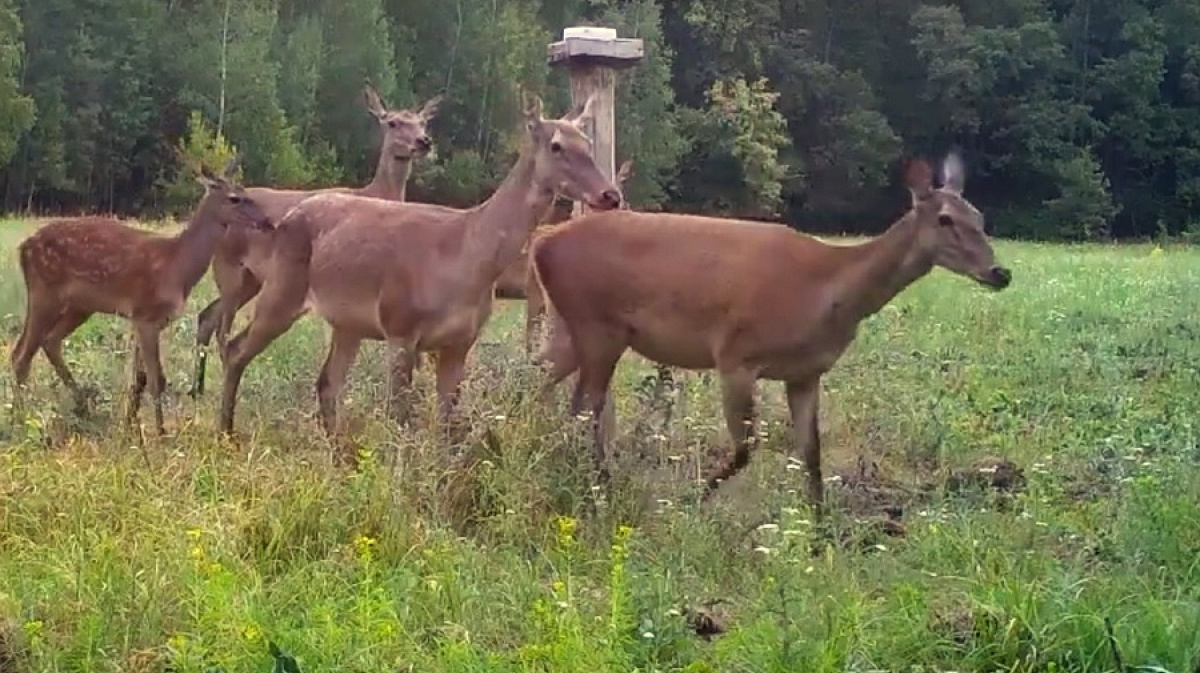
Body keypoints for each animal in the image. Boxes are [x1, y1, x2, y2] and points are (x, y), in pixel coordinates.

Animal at [11, 159, 271, 431]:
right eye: (234, 198)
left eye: (246, 192)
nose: (267, 221)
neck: (176, 266)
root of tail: (23, 248)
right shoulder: (145, 315)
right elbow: (157, 380)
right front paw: (160, 433)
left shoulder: (143, 319)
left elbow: (141, 378)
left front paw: (133, 427)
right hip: (44, 291)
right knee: (21, 354)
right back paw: (20, 418)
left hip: (79, 306)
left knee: (49, 341)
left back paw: (82, 406)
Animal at [189, 79, 444, 393]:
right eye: (393, 122)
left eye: (423, 122)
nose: (423, 142)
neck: (375, 194)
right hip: (230, 266)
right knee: (221, 329)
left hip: (253, 278)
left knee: (207, 318)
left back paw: (197, 390)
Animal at [216, 91, 624, 436]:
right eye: (556, 145)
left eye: (587, 143)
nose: (610, 195)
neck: (465, 260)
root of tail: (291, 214)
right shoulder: (400, 327)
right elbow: (401, 419)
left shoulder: (460, 343)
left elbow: (445, 426)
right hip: (282, 287)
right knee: (236, 349)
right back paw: (225, 432)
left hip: (348, 322)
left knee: (327, 383)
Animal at [530, 153, 1008, 513]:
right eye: (944, 219)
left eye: (980, 216)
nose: (999, 272)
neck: (825, 294)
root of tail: (541, 241)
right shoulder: (735, 355)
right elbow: (747, 447)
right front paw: (690, 500)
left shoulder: (806, 374)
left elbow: (812, 455)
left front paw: (820, 535)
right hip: (598, 325)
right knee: (584, 408)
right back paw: (597, 487)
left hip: (575, 328)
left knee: (542, 385)